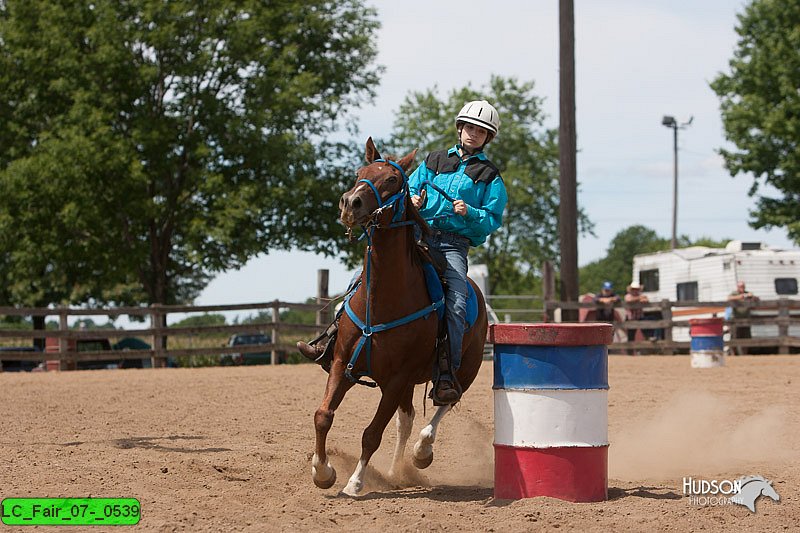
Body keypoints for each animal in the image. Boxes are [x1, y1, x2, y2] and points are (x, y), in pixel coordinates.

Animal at [310, 136, 488, 494]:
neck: (382, 302)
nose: (350, 203)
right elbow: (323, 416)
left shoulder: (396, 379)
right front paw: (322, 471)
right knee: (405, 421)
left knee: (443, 404)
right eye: (359, 173)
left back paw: (422, 452)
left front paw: (354, 483)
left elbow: (371, 434)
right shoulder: (342, 363)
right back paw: (395, 472)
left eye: (392, 180)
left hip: (464, 370)